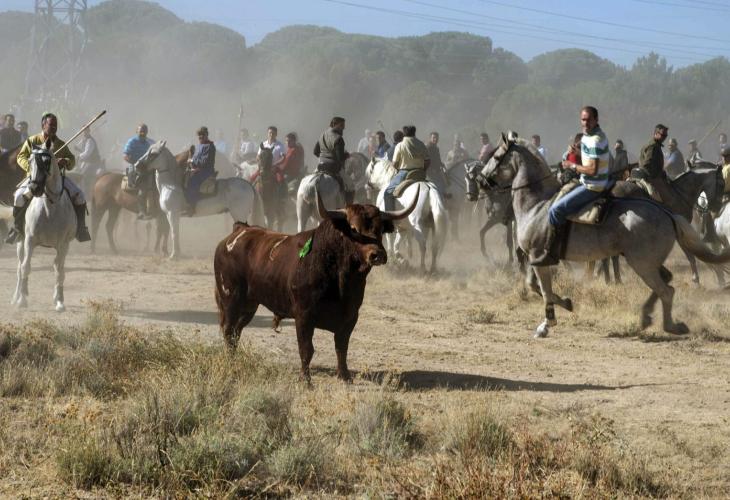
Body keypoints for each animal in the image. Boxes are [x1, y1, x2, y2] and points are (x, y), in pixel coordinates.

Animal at [10, 140, 76, 312]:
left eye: (47, 162)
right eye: (30, 161)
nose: (34, 188)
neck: (49, 208)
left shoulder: (63, 245)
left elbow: (59, 271)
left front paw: (59, 301)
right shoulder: (29, 240)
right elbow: (26, 267)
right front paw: (22, 300)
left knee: (56, 266)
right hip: (20, 242)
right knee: (19, 267)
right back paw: (16, 296)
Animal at [214, 189, 419, 382]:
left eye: (380, 229)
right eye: (353, 228)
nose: (377, 255)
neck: (340, 276)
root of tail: (237, 232)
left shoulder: (351, 317)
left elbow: (341, 347)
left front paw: (344, 376)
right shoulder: (304, 316)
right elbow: (307, 349)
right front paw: (306, 379)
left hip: (249, 305)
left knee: (237, 331)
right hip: (230, 299)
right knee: (228, 330)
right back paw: (230, 362)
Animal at [471, 133, 730, 338]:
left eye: (496, 157)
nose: (481, 181)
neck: (537, 204)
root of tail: (666, 213)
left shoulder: (538, 257)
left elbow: (543, 290)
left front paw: (546, 324)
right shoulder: (538, 259)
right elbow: (535, 286)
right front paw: (566, 303)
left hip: (642, 263)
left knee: (666, 290)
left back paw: (668, 325)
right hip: (646, 262)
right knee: (666, 284)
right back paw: (647, 316)